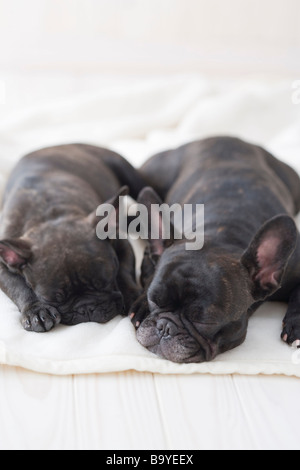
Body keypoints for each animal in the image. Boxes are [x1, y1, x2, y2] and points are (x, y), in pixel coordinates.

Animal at [0, 143, 145, 330]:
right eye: (51, 299)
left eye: (106, 282)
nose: (87, 308)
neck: (50, 215)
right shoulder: (4, 265)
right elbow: (18, 287)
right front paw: (35, 310)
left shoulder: (121, 244)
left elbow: (124, 271)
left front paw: (132, 296)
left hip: (127, 172)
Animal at [131, 136, 300, 364]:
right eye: (153, 300)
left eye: (206, 322)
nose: (165, 327)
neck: (221, 234)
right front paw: (141, 306)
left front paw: (296, 325)